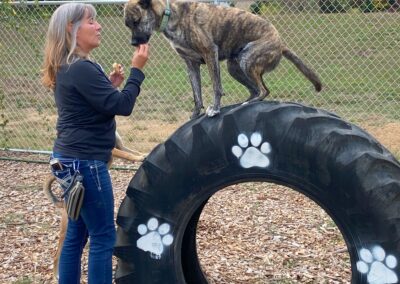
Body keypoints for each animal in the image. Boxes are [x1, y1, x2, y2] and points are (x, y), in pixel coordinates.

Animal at [125, 0, 322, 117]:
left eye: (136, 21)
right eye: (128, 25)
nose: (133, 43)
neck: (170, 14)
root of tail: (281, 44)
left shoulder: (210, 53)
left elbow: (216, 87)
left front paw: (216, 109)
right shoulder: (191, 65)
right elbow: (196, 94)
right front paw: (196, 114)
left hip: (247, 60)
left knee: (263, 90)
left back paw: (245, 104)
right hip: (234, 67)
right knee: (255, 90)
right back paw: (243, 104)